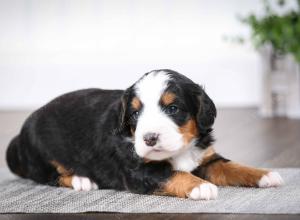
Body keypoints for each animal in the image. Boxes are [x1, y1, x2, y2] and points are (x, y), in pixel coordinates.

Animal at [6, 70, 284, 199]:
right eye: (135, 113)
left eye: (173, 109)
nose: (149, 138)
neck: (179, 149)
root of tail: (19, 137)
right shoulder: (138, 170)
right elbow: (173, 174)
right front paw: (200, 186)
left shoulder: (206, 157)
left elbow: (232, 167)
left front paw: (265, 174)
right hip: (42, 155)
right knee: (50, 176)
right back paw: (81, 180)